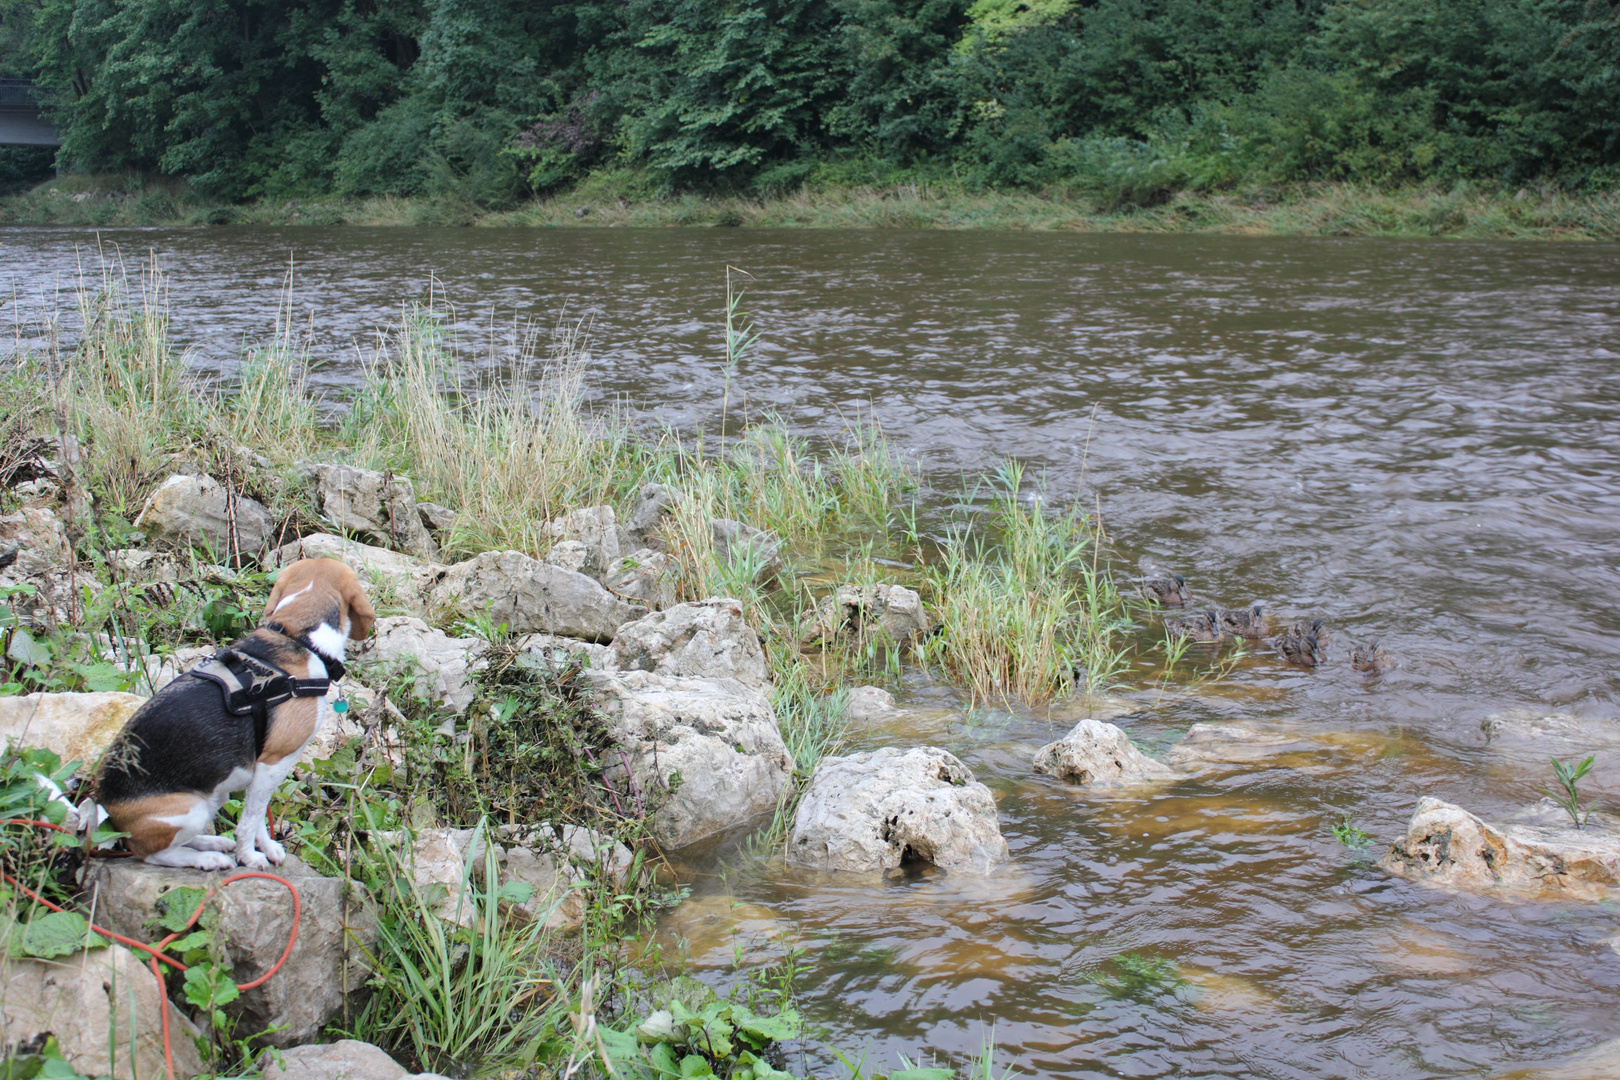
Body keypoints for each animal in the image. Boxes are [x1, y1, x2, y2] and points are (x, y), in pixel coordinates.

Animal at [96, 557, 374, 867]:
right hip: (190, 809)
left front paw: (266, 847)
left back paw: (212, 843)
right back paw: (207, 859)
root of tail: (106, 808)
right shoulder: (272, 763)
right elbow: (252, 817)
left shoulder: (261, 771)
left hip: (217, 792)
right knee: (154, 854)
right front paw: (249, 857)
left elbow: (260, 814)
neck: (299, 636)